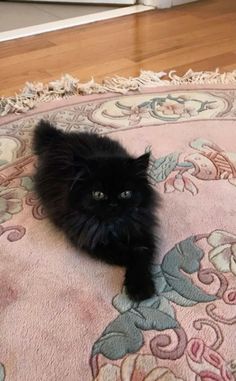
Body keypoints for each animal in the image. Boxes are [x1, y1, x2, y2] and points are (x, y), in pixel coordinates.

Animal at [32, 121, 160, 300]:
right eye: (98, 194)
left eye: (125, 193)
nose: (113, 204)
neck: (113, 227)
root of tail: (60, 136)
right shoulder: (91, 239)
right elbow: (126, 254)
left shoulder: (141, 231)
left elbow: (141, 255)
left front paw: (141, 288)